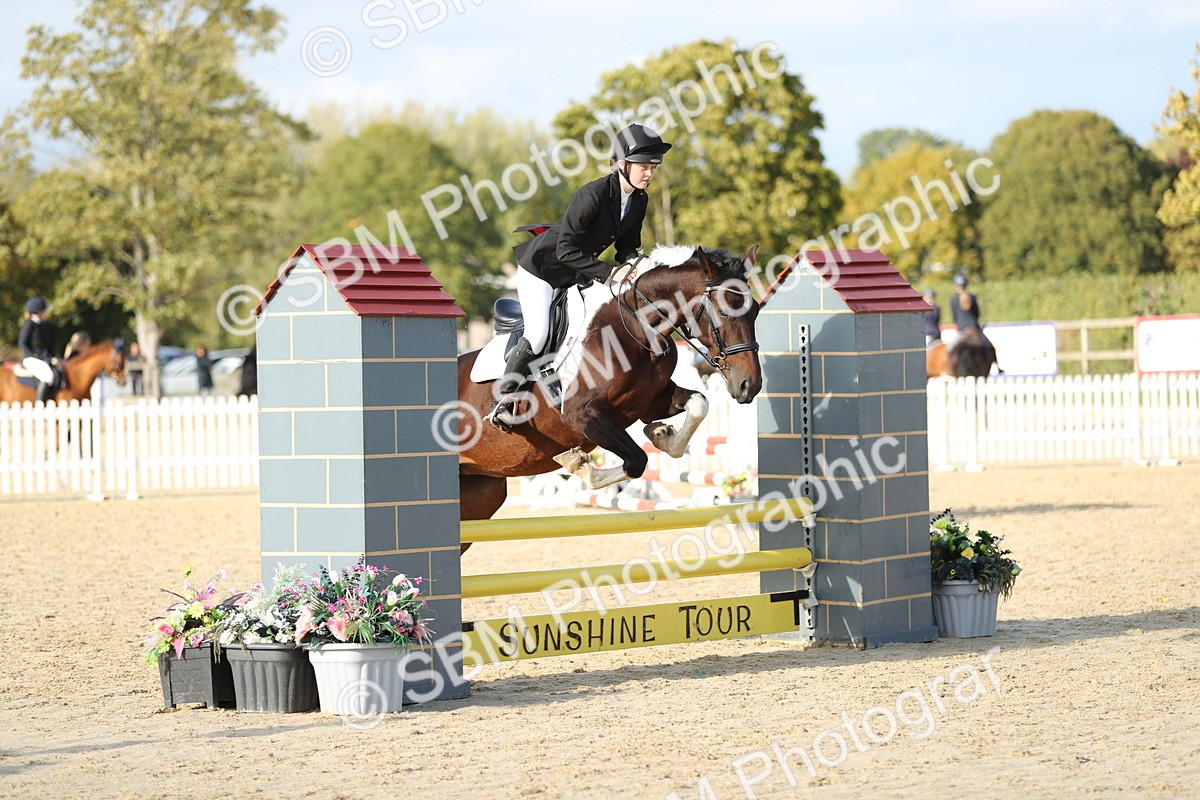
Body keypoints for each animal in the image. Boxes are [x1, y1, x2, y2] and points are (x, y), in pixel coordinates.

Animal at [456, 246, 763, 531]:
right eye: (724, 311)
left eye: (757, 311)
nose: (750, 385)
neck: (637, 327)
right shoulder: (581, 415)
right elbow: (636, 461)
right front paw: (580, 465)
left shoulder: (650, 404)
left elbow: (699, 403)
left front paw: (662, 436)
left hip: (480, 492)